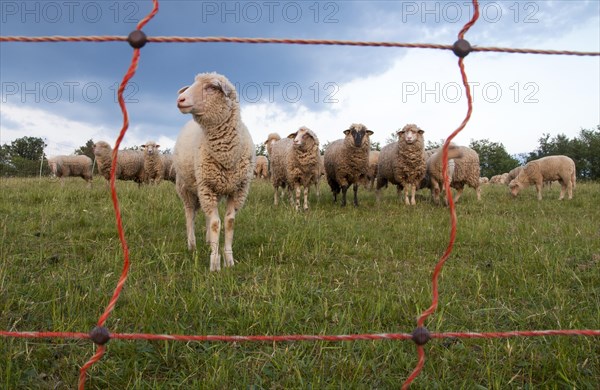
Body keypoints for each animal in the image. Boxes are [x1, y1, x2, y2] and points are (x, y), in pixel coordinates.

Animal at [172, 71, 254, 272]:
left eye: (211, 87)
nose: (180, 99)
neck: (226, 153)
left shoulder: (238, 189)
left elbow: (229, 222)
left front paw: (229, 260)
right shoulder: (206, 186)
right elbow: (217, 223)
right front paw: (215, 264)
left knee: (207, 215)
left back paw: (209, 241)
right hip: (186, 187)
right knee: (190, 214)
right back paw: (192, 245)